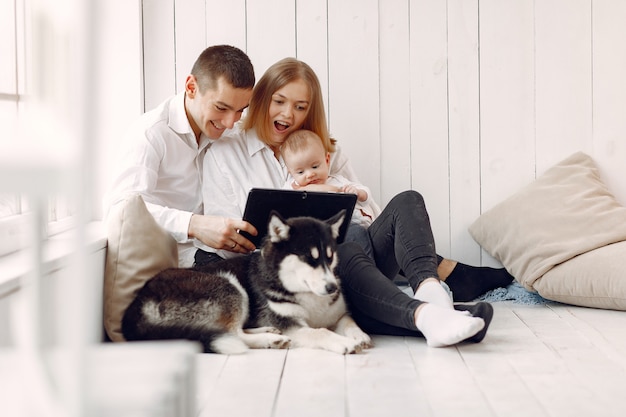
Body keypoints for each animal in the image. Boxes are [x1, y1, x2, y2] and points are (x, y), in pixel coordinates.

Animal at [122, 210, 370, 352]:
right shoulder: (290, 324)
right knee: (233, 334)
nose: (332, 288)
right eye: (309, 258)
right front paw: (344, 343)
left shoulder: (337, 315)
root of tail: (136, 306)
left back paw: (267, 332)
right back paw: (268, 339)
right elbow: (319, 332)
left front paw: (359, 335)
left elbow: (349, 321)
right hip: (228, 285)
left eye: (330, 256)